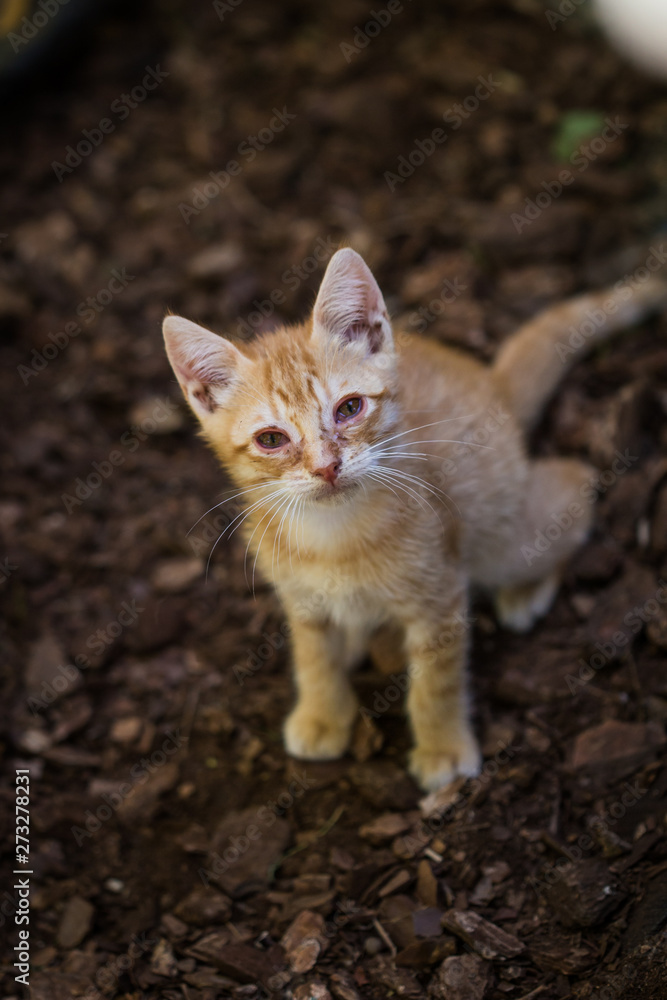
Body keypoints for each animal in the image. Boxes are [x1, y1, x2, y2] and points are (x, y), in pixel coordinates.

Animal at [163, 248, 667, 788]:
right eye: (271, 440)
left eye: (349, 408)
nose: (326, 467)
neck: (335, 538)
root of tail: (493, 387)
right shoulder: (301, 599)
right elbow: (314, 656)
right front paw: (322, 715)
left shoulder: (439, 597)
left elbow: (436, 682)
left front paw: (442, 746)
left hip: (508, 536)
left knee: (575, 482)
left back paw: (525, 590)